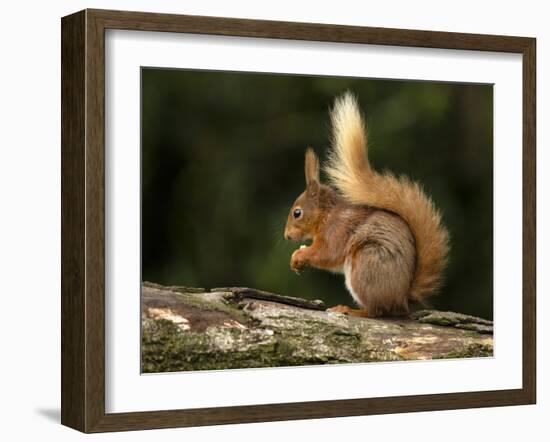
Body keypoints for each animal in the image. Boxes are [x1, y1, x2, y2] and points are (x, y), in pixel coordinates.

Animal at [286, 92, 450, 318]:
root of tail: (401, 300)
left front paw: (299, 254)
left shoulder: (338, 231)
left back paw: (350, 310)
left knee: (376, 311)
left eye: (297, 213)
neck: (327, 215)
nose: (286, 236)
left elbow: (327, 254)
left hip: (365, 264)